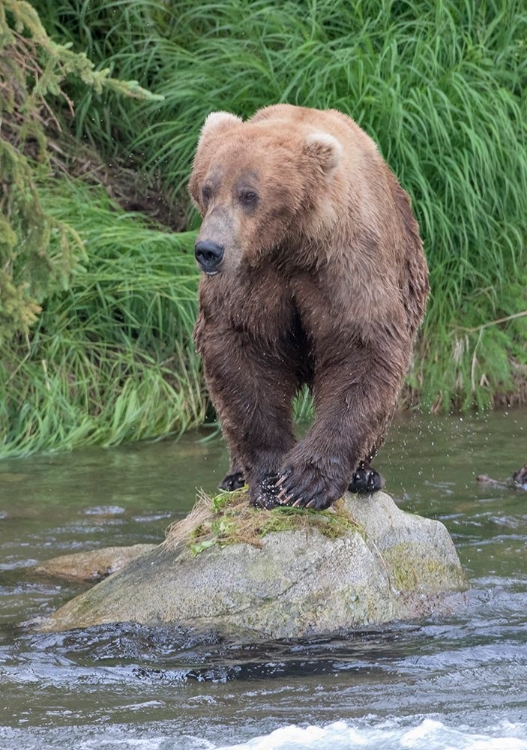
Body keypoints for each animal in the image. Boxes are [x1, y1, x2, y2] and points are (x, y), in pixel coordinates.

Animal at [190, 104, 428, 512]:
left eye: (248, 194)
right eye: (207, 188)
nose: (209, 250)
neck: (289, 243)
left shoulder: (343, 265)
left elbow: (362, 350)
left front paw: (305, 482)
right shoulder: (250, 279)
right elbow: (241, 356)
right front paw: (270, 481)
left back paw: (365, 475)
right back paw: (234, 474)